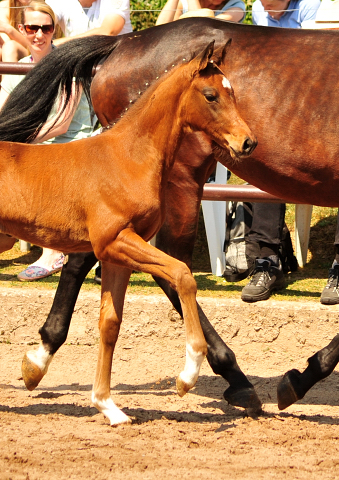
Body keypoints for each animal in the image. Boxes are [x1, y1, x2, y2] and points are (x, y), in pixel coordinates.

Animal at [1, 41, 255, 424]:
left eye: (234, 93)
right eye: (211, 95)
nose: (248, 142)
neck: (128, 157)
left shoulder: (114, 256)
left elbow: (110, 324)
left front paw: (108, 406)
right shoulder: (117, 240)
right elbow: (183, 275)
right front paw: (188, 375)